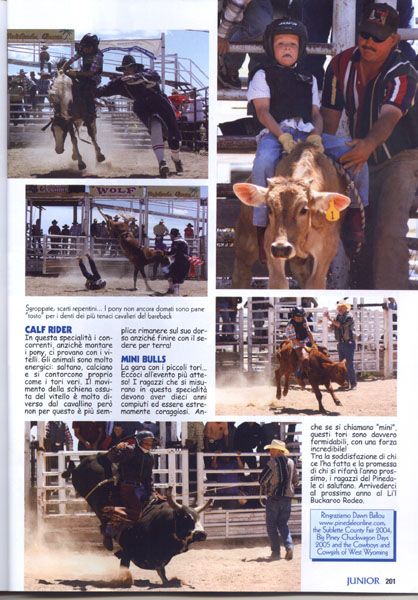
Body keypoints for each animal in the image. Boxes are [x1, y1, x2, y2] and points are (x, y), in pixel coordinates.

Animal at [232, 143, 350, 288]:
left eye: (304, 209)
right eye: (269, 209)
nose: (281, 248)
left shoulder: (327, 249)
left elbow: (314, 283)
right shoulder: (270, 244)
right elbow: (279, 283)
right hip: (246, 241)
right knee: (242, 271)